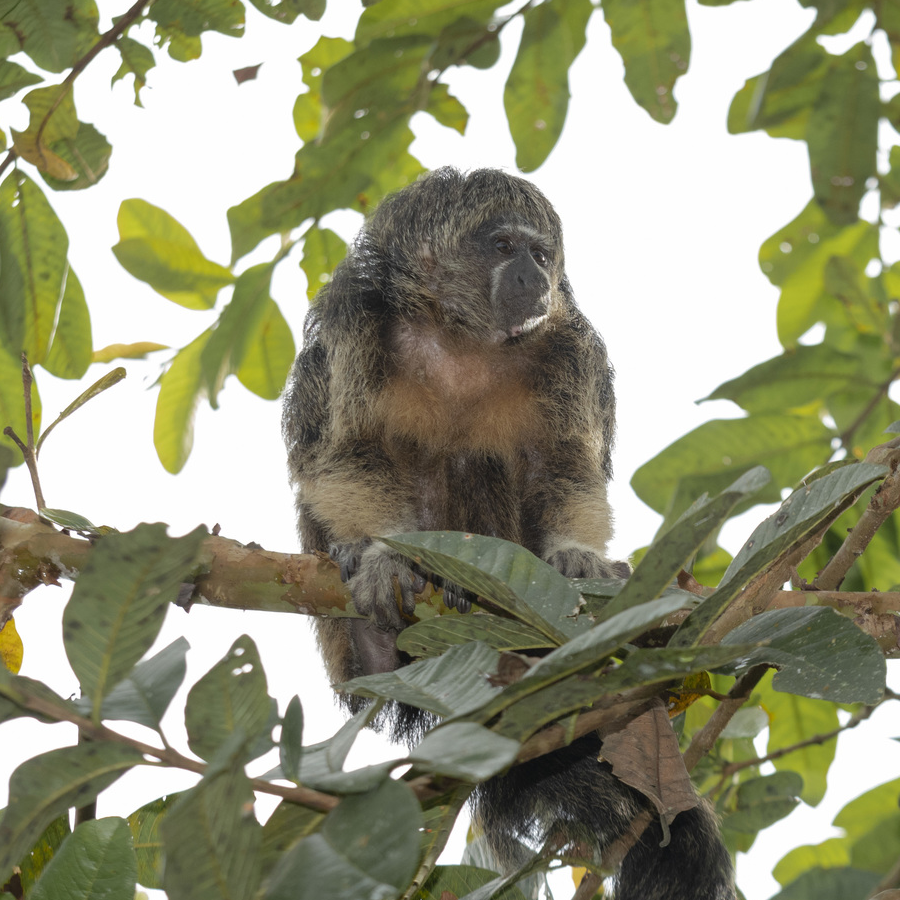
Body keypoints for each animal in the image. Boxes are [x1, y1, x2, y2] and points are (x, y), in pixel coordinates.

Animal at [282, 167, 734, 899]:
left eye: (541, 253)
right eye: (502, 247)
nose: (534, 275)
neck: (461, 339)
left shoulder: (571, 352)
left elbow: (564, 468)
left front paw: (578, 559)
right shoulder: (356, 326)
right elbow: (348, 453)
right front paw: (379, 557)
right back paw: (377, 637)